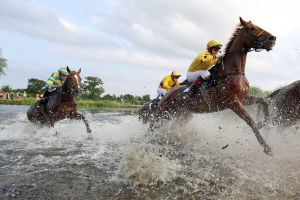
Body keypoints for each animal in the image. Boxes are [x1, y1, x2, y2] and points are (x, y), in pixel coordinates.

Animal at [139, 16, 276, 155]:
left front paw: (265, 123)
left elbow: (264, 101)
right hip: (163, 114)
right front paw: (266, 147)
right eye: (251, 28)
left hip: (181, 115)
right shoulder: (233, 102)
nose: (272, 39)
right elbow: (250, 121)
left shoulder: (243, 98)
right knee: (151, 128)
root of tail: (167, 95)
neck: (233, 71)